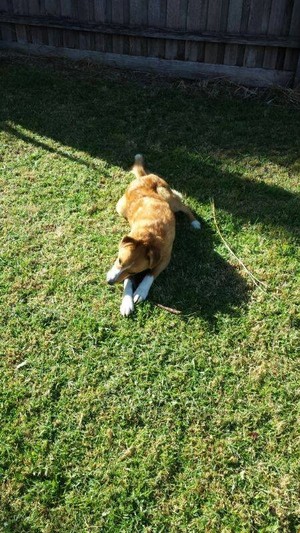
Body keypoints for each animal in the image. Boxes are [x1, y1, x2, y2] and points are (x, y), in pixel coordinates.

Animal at [106, 156, 200, 318]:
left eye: (134, 271)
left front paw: (141, 291)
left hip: (169, 198)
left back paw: (194, 222)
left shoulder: (165, 259)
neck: (148, 238)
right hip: (120, 208)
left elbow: (150, 274)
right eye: (119, 260)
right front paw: (126, 302)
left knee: (184, 206)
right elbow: (127, 282)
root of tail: (144, 177)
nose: (109, 282)